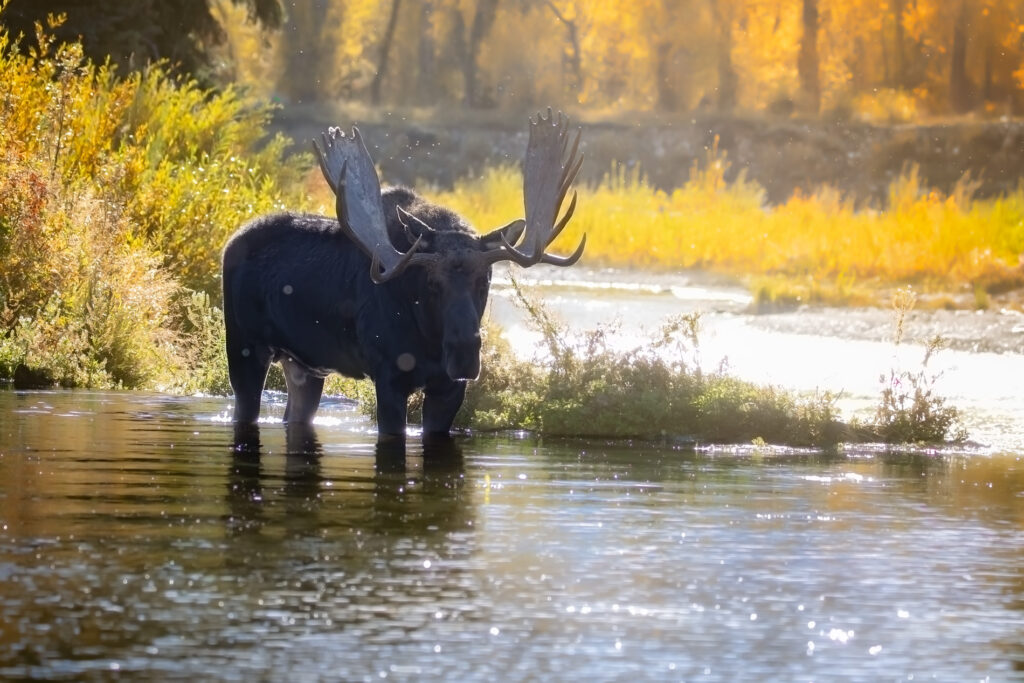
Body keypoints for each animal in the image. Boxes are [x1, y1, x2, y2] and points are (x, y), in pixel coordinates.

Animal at [221, 109, 584, 439]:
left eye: (485, 280)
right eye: (433, 284)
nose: (465, 352)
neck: (429, 341)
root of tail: (230, 242)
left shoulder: (449, 387)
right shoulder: (389, 377)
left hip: (304, 366)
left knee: (294, 413)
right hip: (244, 347)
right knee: (244, 406)